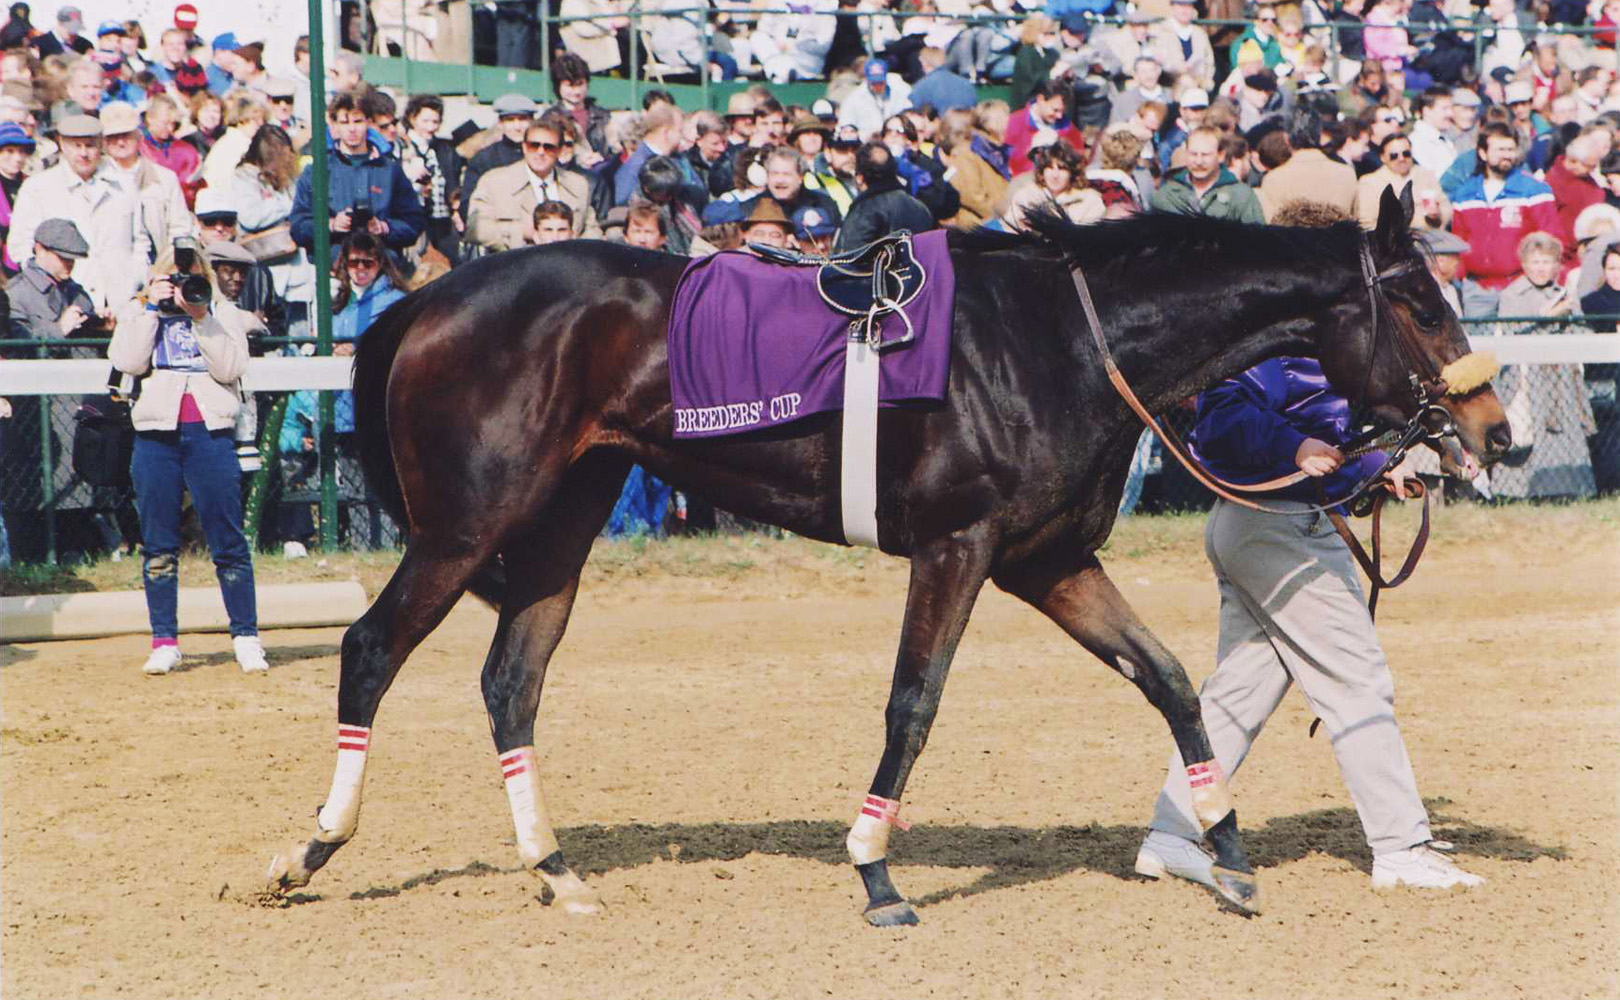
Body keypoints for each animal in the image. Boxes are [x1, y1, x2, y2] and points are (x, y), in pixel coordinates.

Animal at [259, 191, 1509, 927]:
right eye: (1418, 301)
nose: (1494, 431)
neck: (1062, 338)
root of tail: (430, 298)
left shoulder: (1048, 560)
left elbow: (1166, 678)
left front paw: (1230, 851)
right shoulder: (958, 548)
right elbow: (915, 701)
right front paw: (873, 865)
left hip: (565, 517)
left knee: (510, 678)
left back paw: (556, 867)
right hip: (465, 523)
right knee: (370, 647)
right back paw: (309, 849)